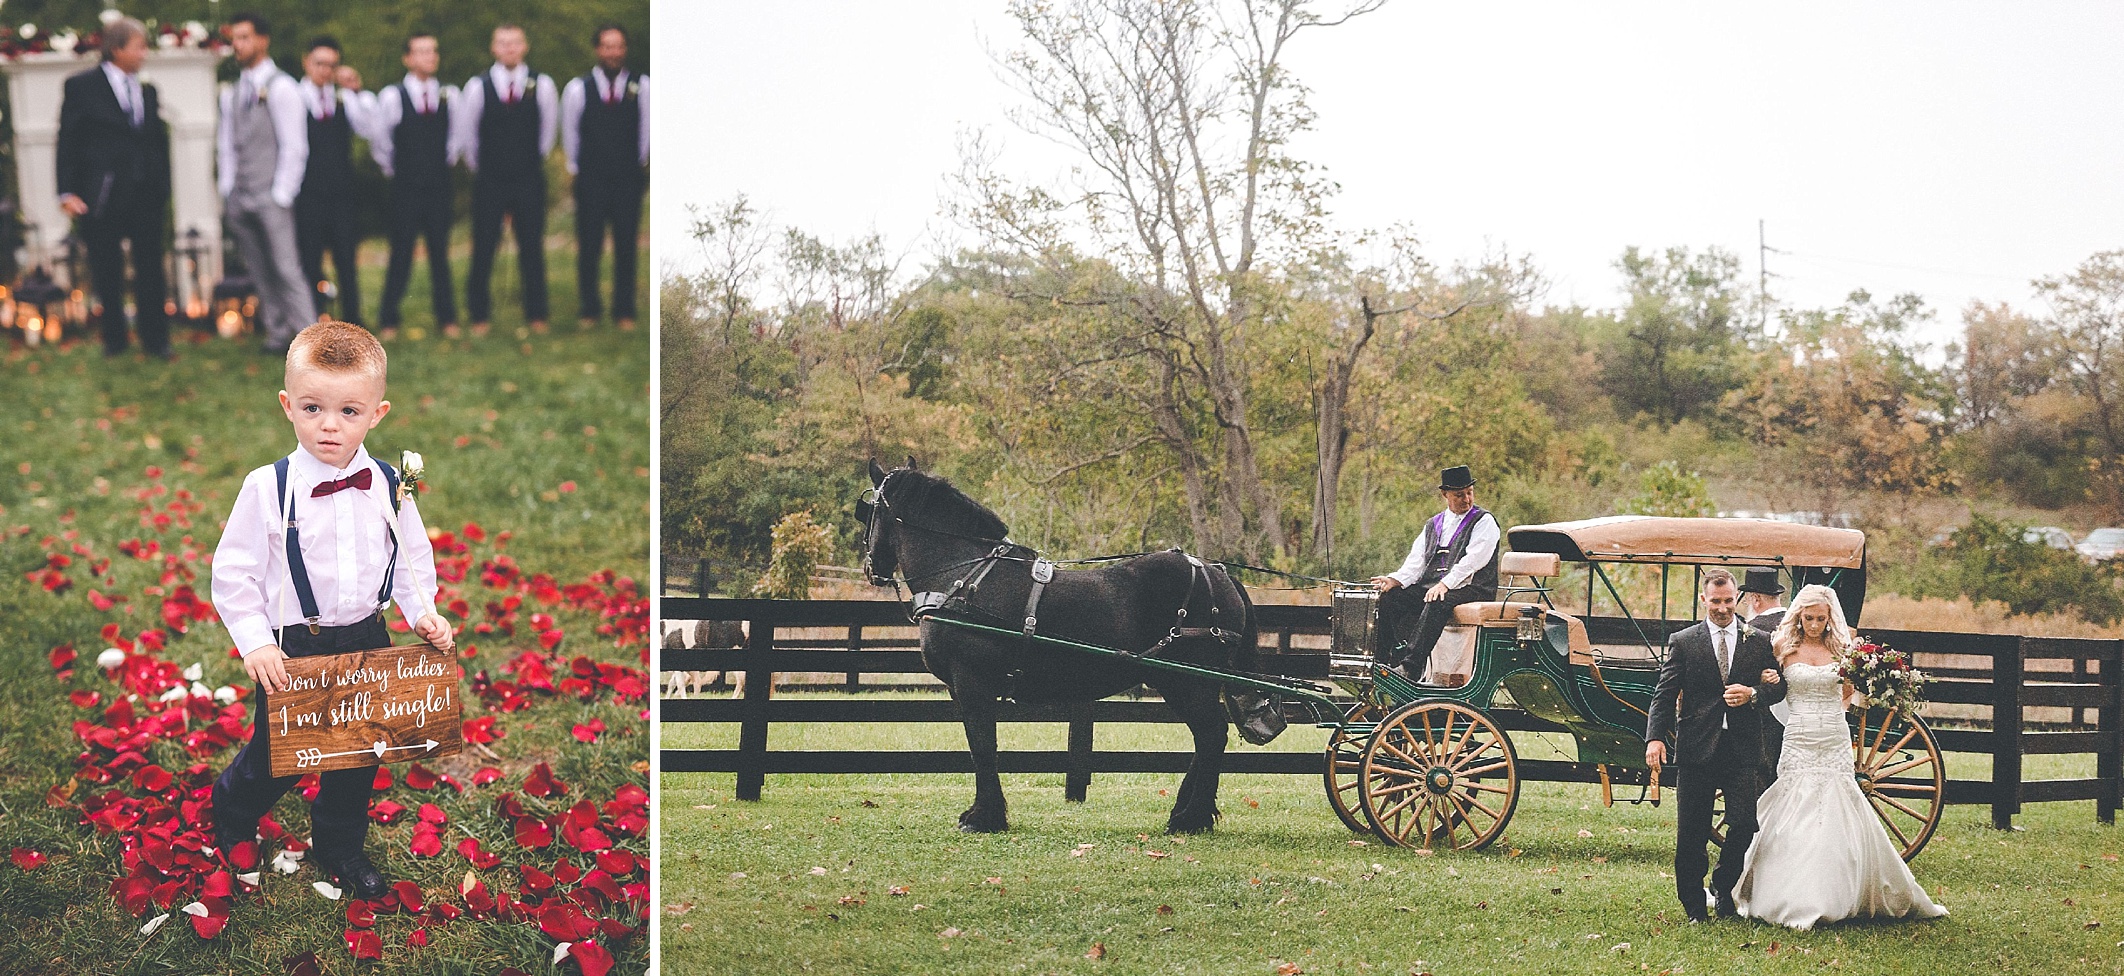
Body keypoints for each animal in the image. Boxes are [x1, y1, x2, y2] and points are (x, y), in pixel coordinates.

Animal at [858, 458, 1282, 831]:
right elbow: (982, 745)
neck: (964, 577)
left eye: (868, 512)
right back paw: (1185, 813)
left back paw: (1190, 819)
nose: (871, 568)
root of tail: (1217, 573)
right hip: (1180, 681)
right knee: (1206, 738)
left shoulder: (973, 682)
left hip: (1188, 681)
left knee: (1211, 735)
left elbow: (982, 745)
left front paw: (983, 817)